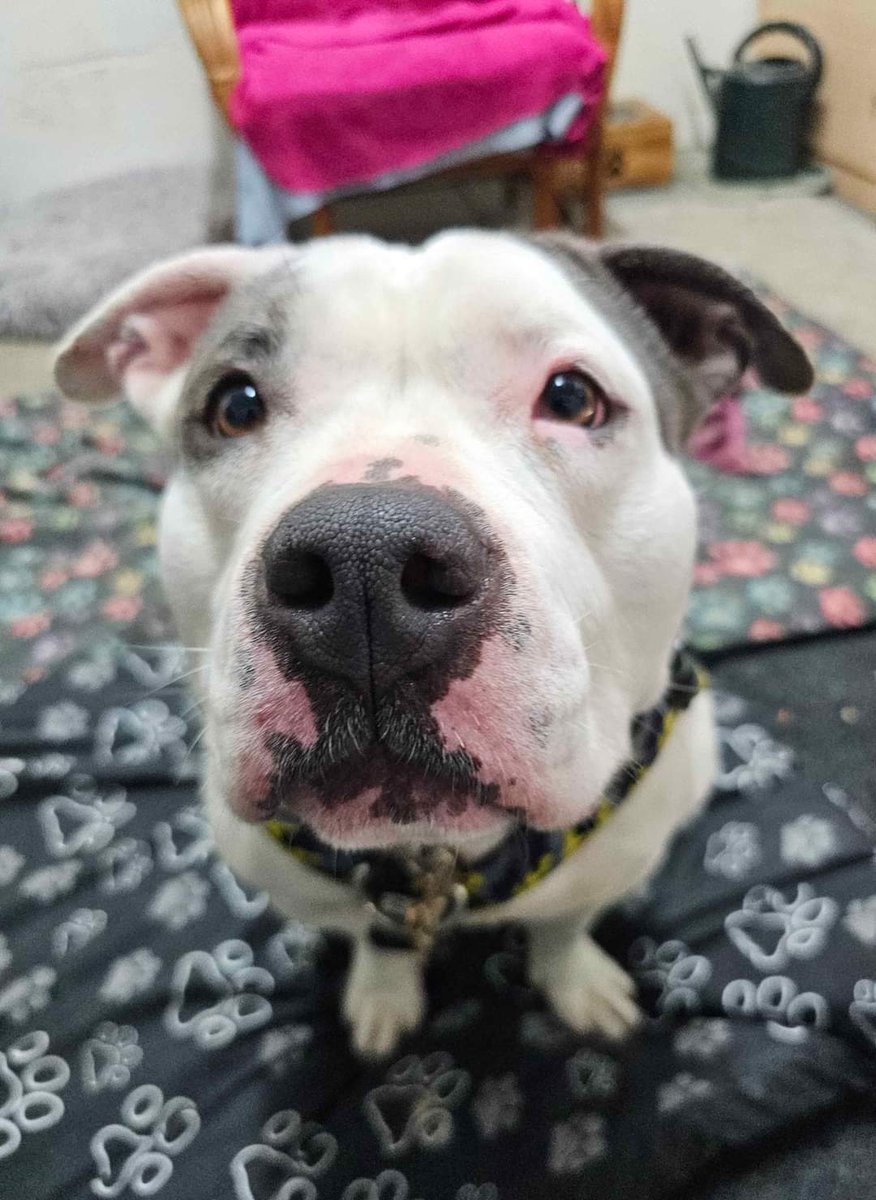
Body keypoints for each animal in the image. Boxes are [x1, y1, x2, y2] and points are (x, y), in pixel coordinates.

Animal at [52, 229, 806, 1056]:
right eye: (234, 405)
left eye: (572, 398)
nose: (364, 559)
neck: (436, 863)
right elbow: (376, 943)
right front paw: (384, 995)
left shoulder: (606, 865)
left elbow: (563, 928)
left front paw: (576, 983)